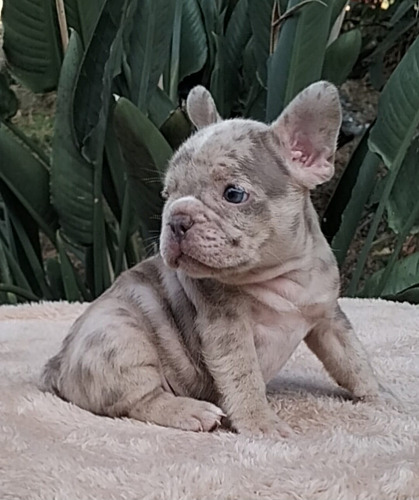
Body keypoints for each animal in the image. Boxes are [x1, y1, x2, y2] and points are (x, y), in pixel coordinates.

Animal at [41, 82, 380, 438]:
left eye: (233, 194)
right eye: (167, 195)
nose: (176, 218)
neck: (280, 274)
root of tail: (57, 365)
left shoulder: (329, 316)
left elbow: (352, 360)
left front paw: (382, 397)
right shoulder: (227, 328)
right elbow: (244, 378)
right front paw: (261, 423)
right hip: (119, 335)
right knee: (141, 401)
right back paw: (190, 411)